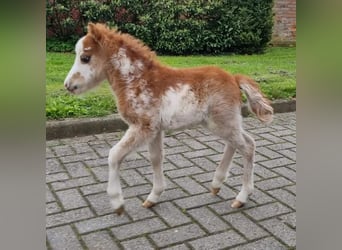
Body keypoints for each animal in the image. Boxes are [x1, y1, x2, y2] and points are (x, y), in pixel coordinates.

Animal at [64, 23, 272, 215]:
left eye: (85, 58)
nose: (68, 85)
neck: (136, 80)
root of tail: (234, 79)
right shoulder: (155, 130)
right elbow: (156, 158)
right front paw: (153, 197)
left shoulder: (143, 127)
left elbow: (114, 155)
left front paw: (117, 203)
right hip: (222, 122)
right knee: (238, 143)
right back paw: (216, 183)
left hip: (223, 122)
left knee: (247, 146)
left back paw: (241, 197)